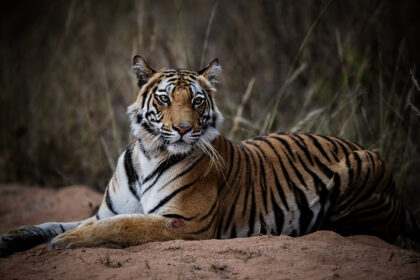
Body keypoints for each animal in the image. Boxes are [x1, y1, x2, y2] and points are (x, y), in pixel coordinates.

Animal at [0, 54, 418, 256]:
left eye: (197, 101)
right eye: (165, 98)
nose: (184, 129)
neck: (148, 154)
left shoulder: (182, 222)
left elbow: (122, 226)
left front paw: (67, 243)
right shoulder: (106, 210)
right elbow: (53, 222)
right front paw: (14, 238)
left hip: (360, 173)